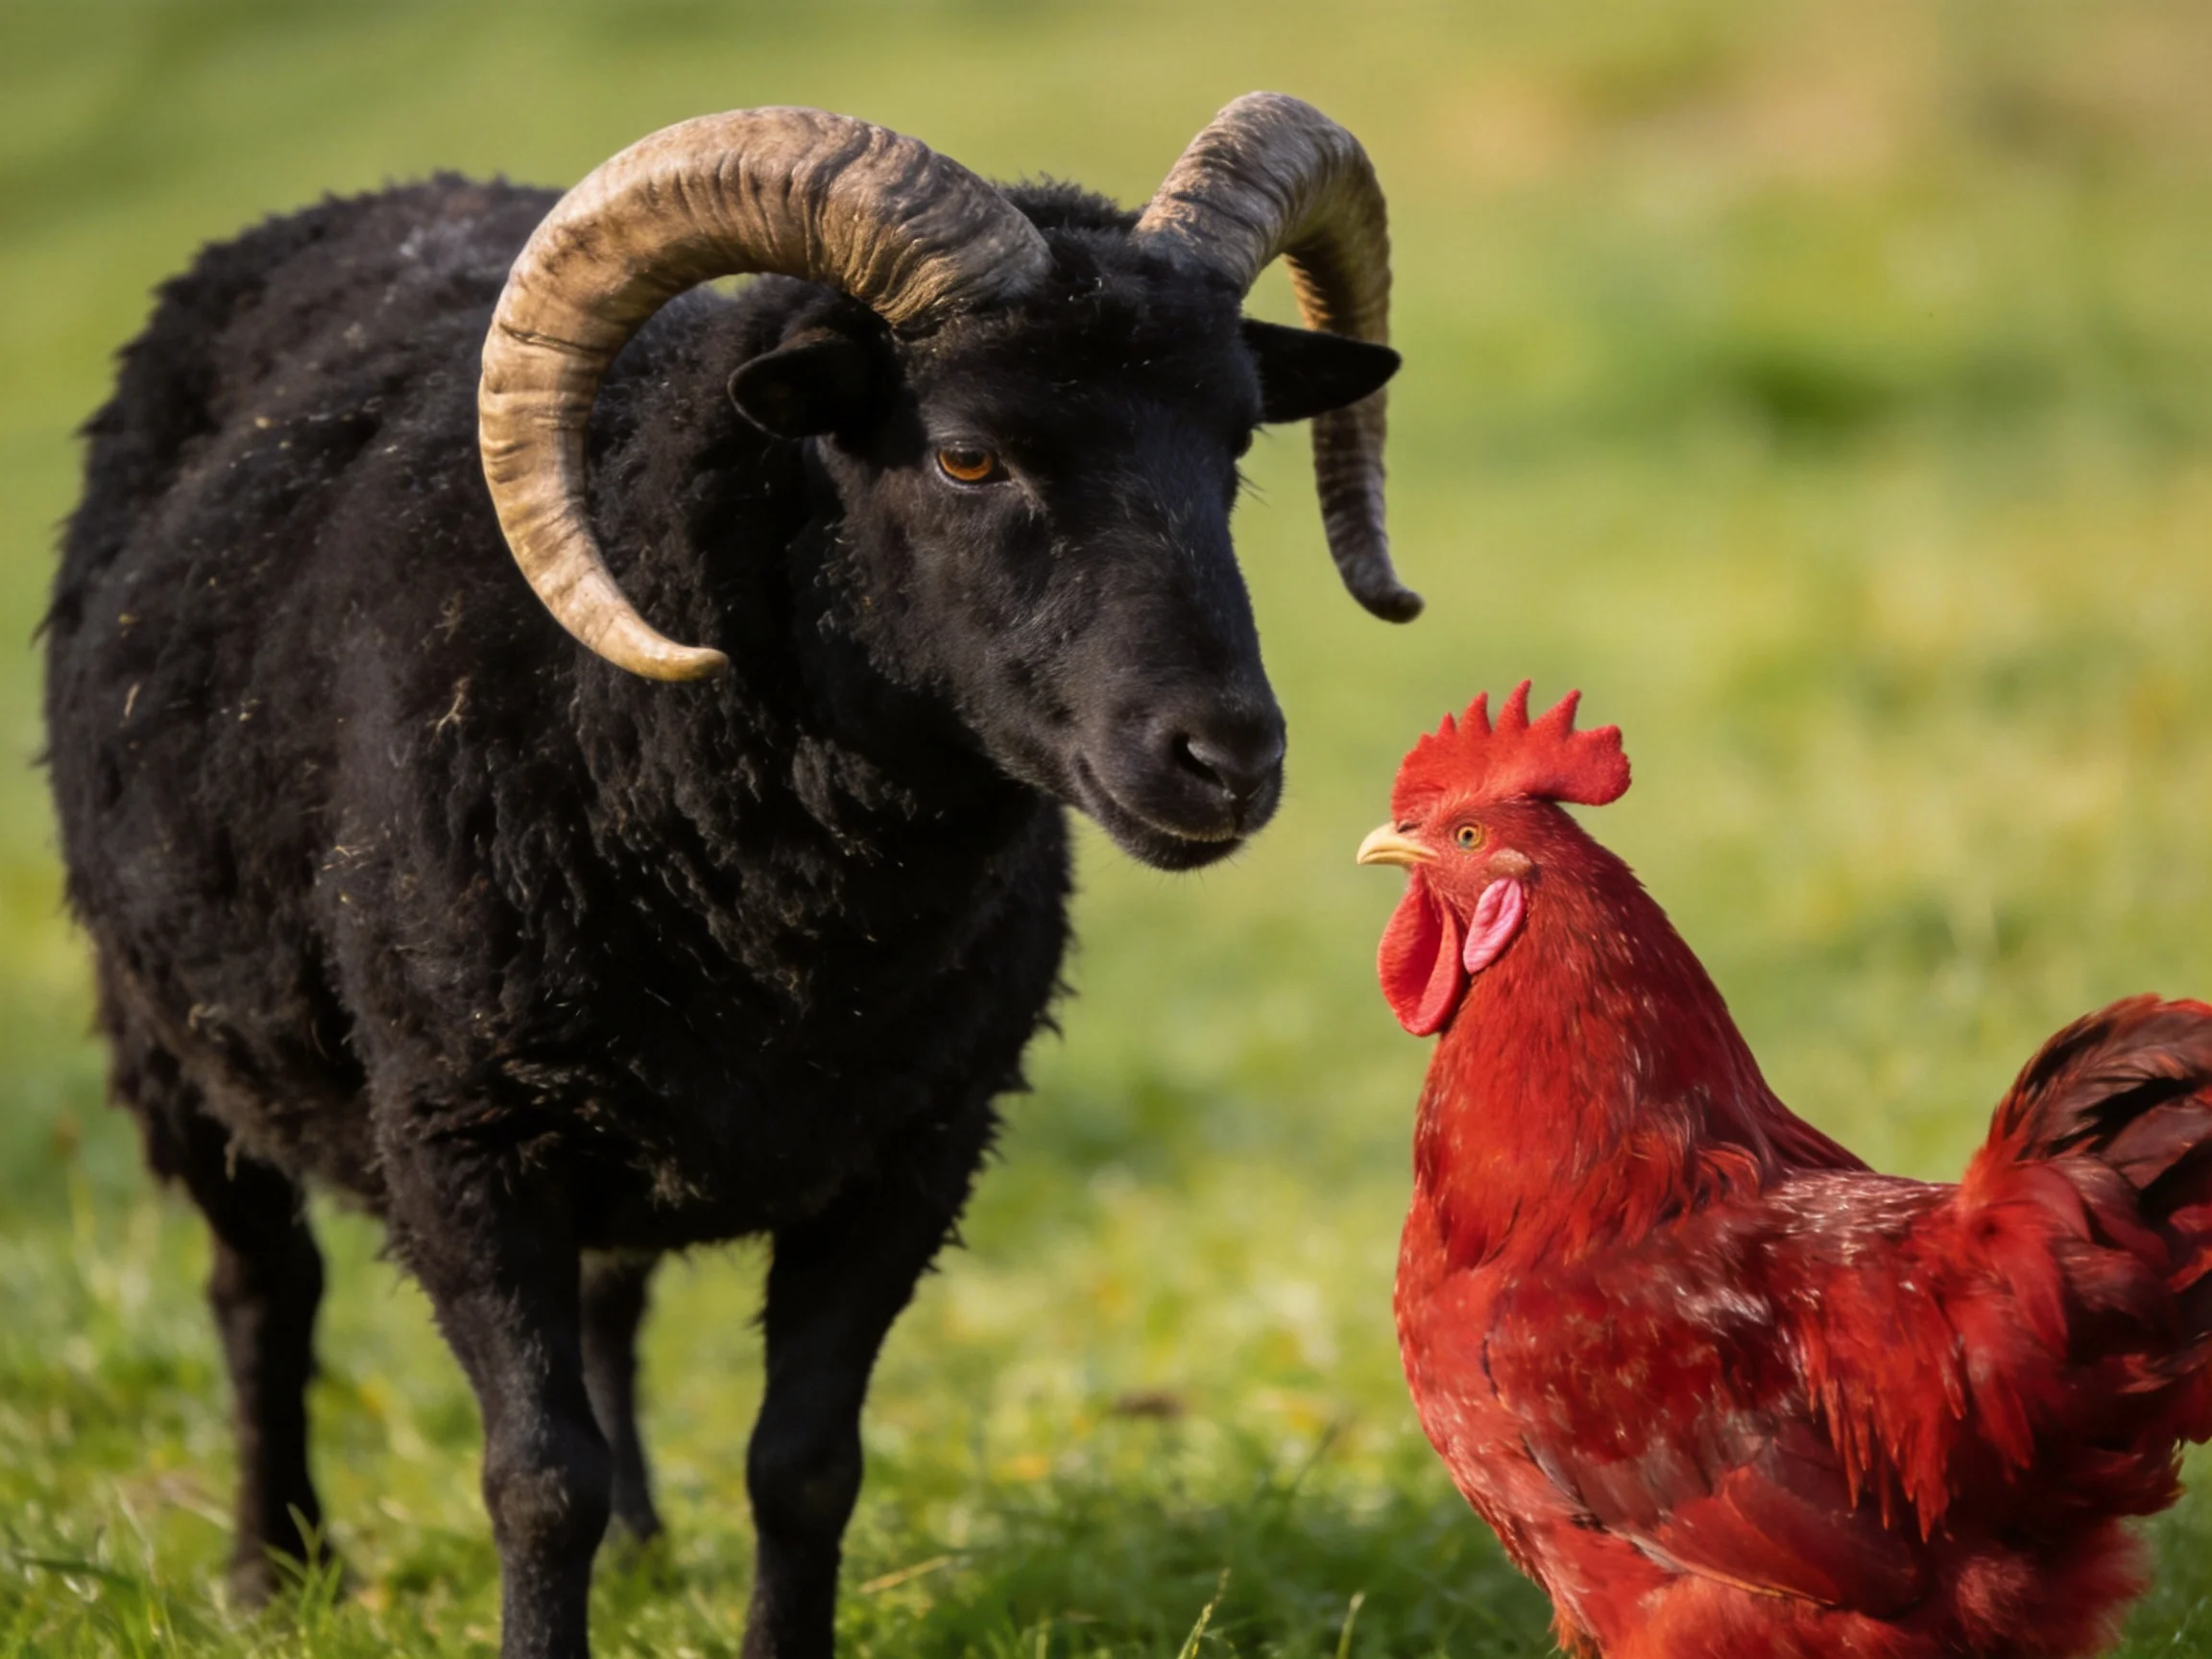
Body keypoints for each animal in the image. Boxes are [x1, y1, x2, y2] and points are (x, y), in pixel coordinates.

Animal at [42, 95, 1411, 1659]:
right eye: (965, 457)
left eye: (1235, 446)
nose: (1225, 756)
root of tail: (366, 192)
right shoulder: (459, 1138)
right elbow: (538, 1480)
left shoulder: (914, 1147)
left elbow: (805, 1466)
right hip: (172, 1035)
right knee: (262, 1293)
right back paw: (272, 1570)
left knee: (608, 1306)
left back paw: (639, 1548)